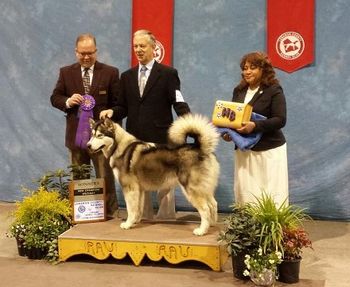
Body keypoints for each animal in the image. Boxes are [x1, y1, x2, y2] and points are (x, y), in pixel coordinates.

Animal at [87, 114, 219, 236]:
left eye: (99, 135)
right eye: (92, 135)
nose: (88, 145)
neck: (120, 147)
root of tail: (200, 147)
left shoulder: (129, 188)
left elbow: (131, 208)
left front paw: (128, 224)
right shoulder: (139, 189)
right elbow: (138, 208)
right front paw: (135, 222)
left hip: (191, 189)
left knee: (205, 209)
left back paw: (201, 230)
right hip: (205, 189)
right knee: (213, 204)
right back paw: (211, 225)